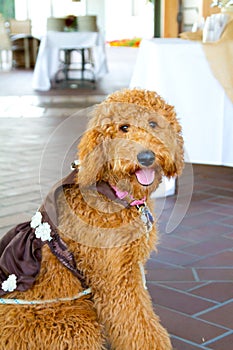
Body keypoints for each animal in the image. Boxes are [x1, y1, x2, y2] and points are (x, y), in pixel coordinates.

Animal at [0, 87, 184, 348]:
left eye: (153, 123)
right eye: (123, 127)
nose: (146, 157)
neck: (113, 192)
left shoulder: (130, 268)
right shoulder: (116, 278)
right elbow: (138, 323)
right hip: (75, 323)